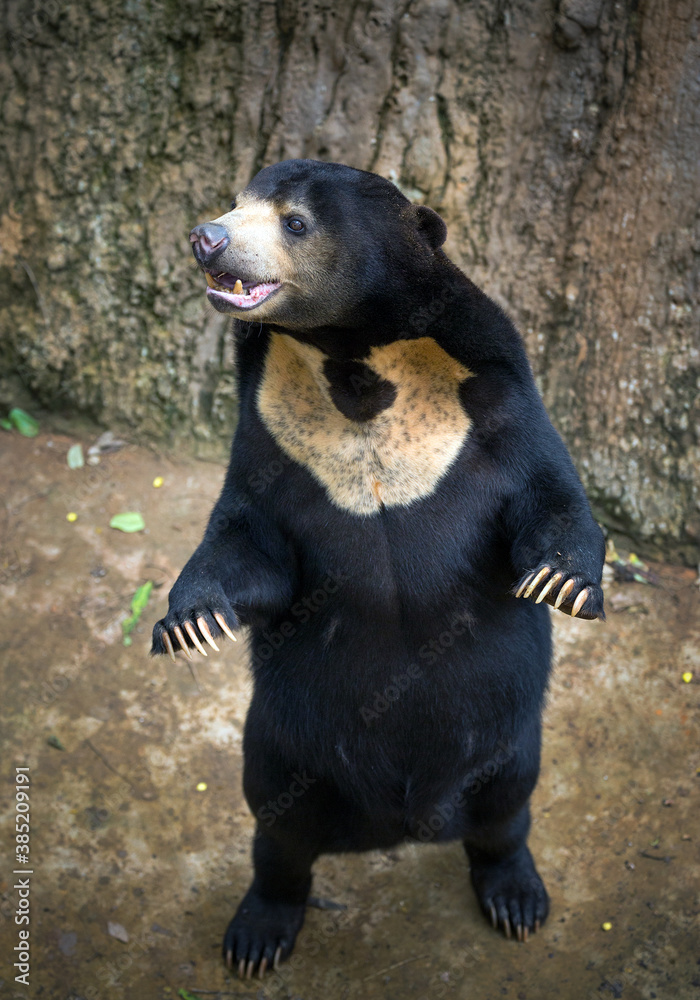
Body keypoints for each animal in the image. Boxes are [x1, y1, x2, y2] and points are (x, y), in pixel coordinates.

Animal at [150, 160, 604, 980]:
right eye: (236, 202)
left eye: (295, 222)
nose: (207, 239)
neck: (354, 363)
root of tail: (403, 821)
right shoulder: (270, 436)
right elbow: (249, 544)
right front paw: (190, 623)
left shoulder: (494, 401)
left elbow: (547, 495)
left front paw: (563, 583)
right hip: (282, 744)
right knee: (279, 832)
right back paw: (258, 935)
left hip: (508, 741)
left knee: (505, 813)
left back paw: (516, 899)